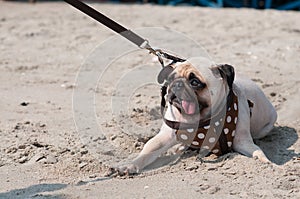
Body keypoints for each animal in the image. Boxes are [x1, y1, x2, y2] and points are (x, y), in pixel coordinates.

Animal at [114, 56, 276, 175]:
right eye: (171, 79)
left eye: (195, 82)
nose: (177, 84)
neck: (200, 119)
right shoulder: (165, 136)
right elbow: (147, 151)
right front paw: (130, 165)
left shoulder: (243, 142)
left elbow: (257, 152)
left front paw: (268, 164)